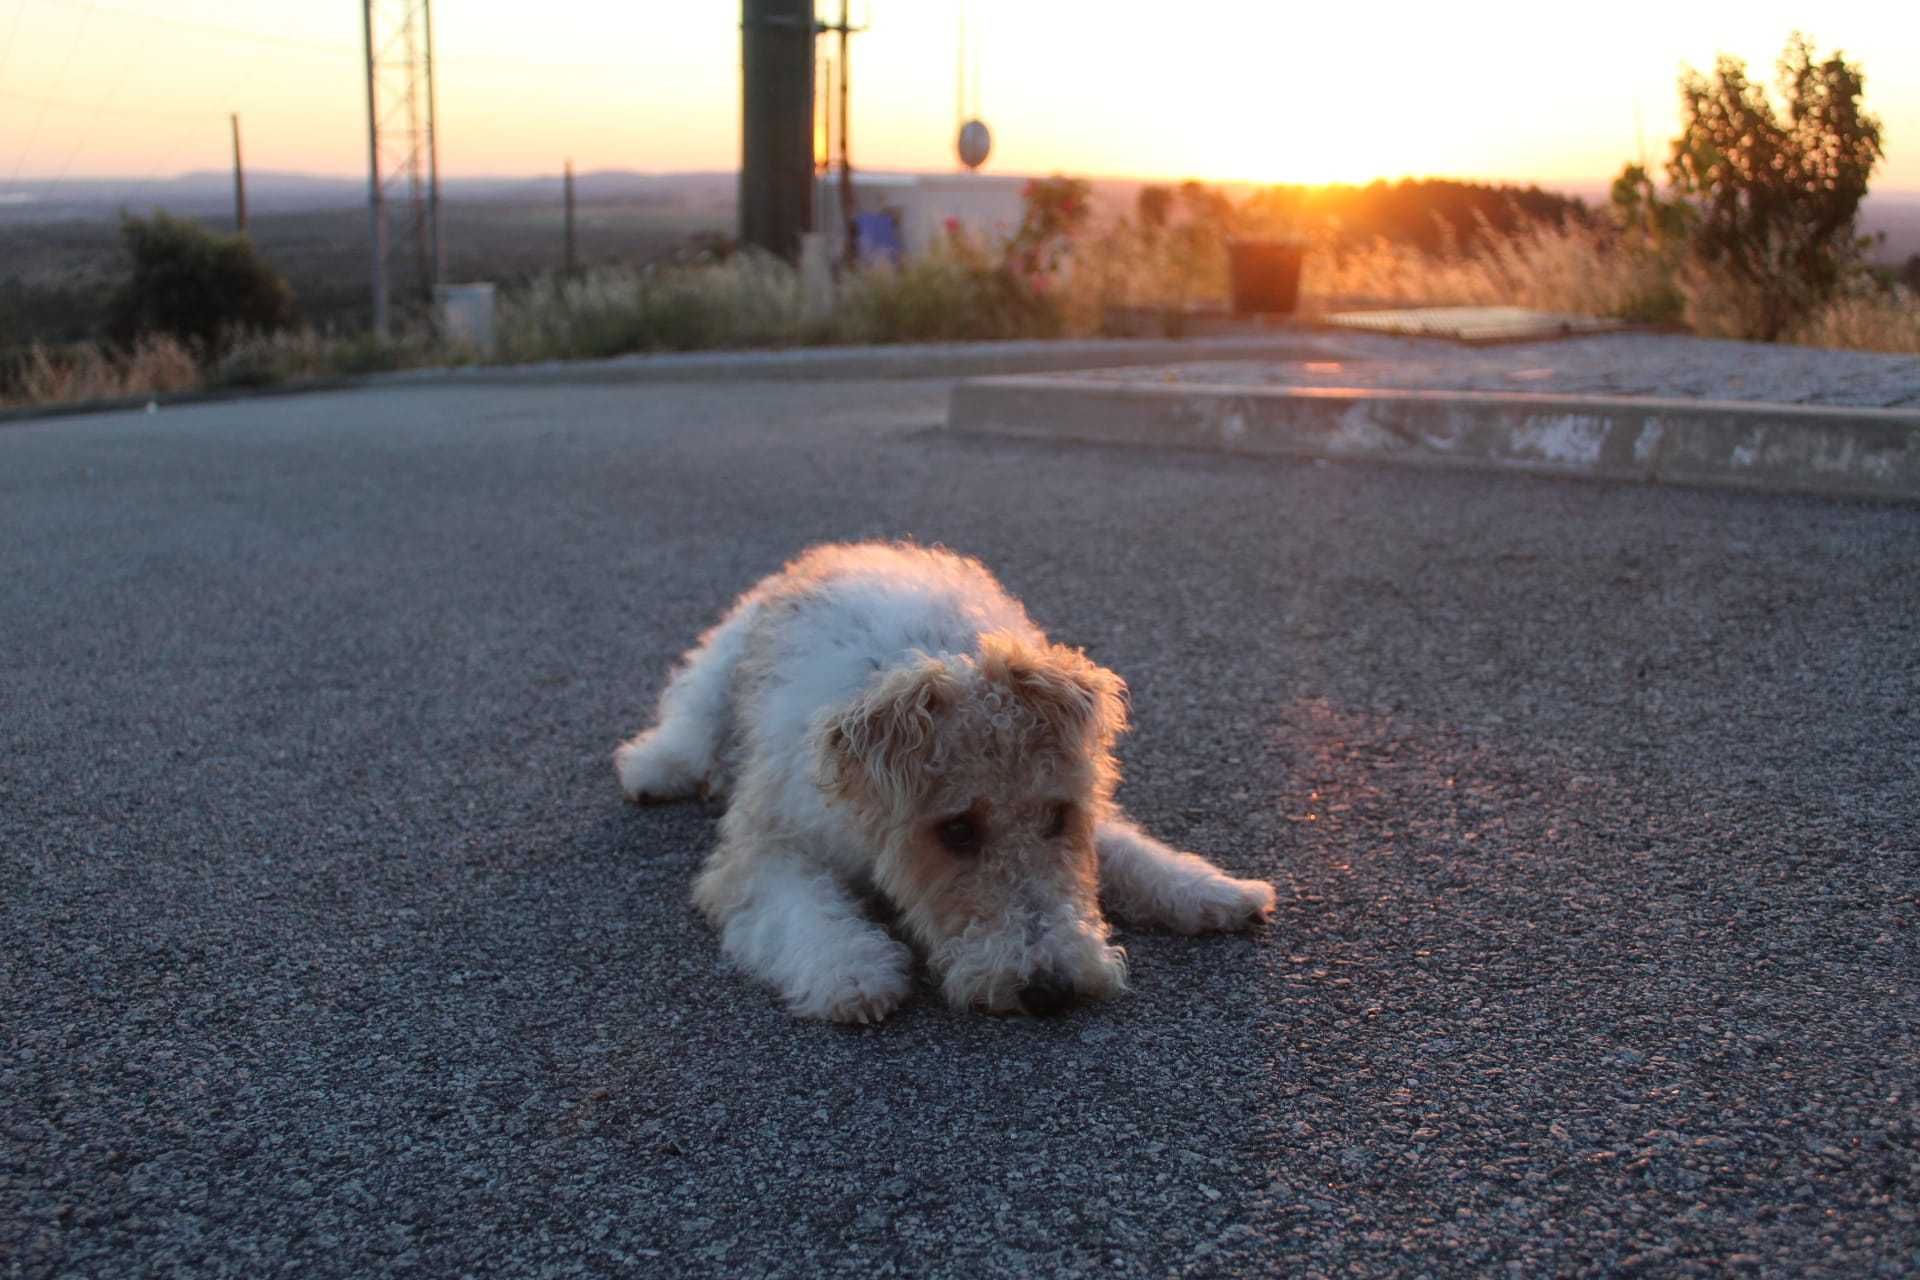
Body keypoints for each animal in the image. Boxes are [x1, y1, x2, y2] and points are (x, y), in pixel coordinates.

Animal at [614, 545, 1274, 1028]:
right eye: (956, 830)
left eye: (1058, 817)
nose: (1052, 989)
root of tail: (837, 549)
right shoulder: (764, 847)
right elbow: (802, 908)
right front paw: (851, 969)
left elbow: (1130, 851)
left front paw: (1213, 891)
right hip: (721, 665)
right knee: (689, 721)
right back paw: (653, 768)